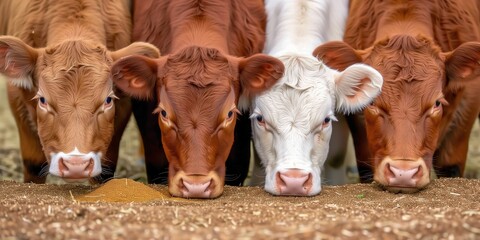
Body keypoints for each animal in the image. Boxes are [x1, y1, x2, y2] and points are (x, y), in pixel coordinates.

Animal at [0, 0, 159, 183]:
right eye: (42, 100)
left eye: (108, 100)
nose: (76, 165)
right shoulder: (16, 95)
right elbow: (33, 164)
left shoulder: (123, 105)